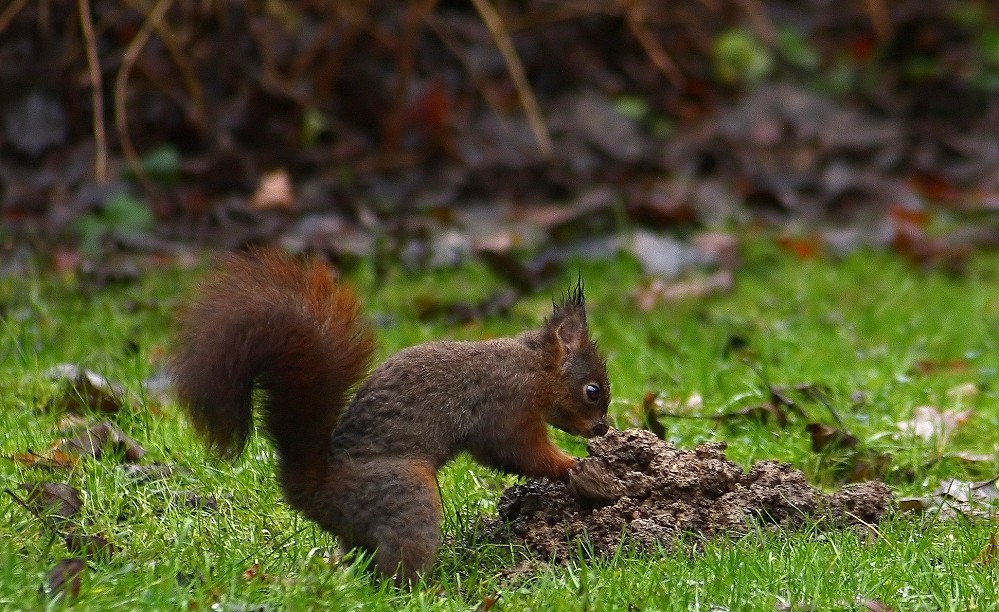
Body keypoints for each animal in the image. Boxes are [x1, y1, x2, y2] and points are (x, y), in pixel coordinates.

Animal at [170, 250, 608, 584]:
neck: (532, 368)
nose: (602, 429)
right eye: (593, 391)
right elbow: (515, 451)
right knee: (396, 569)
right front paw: (572, 465)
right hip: (405, 496)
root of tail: (313, 489)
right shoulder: (505, 406)